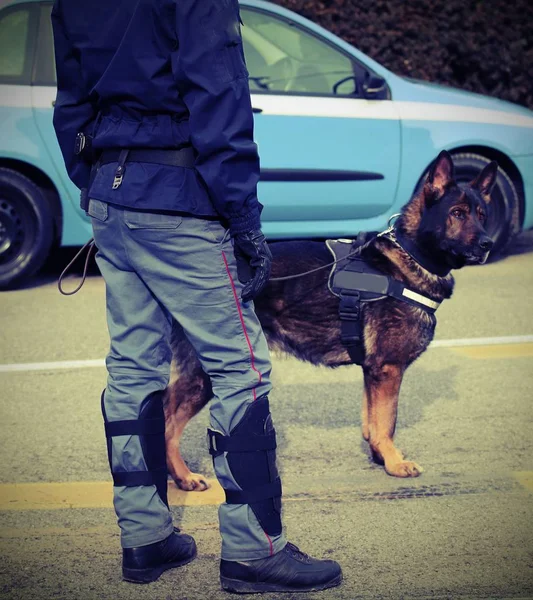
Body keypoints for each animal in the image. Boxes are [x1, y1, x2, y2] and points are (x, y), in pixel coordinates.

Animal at [165, 149, 494, 488]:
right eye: (457, 213)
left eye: (482, 215)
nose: (488, 244)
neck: (410, 255)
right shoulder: (388, 369)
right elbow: (387, 421)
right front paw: (394, 462)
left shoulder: (372, 372)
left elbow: (372, 422)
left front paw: (380, 456)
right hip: (207, 375)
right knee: (167, 424)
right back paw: (183, 476)